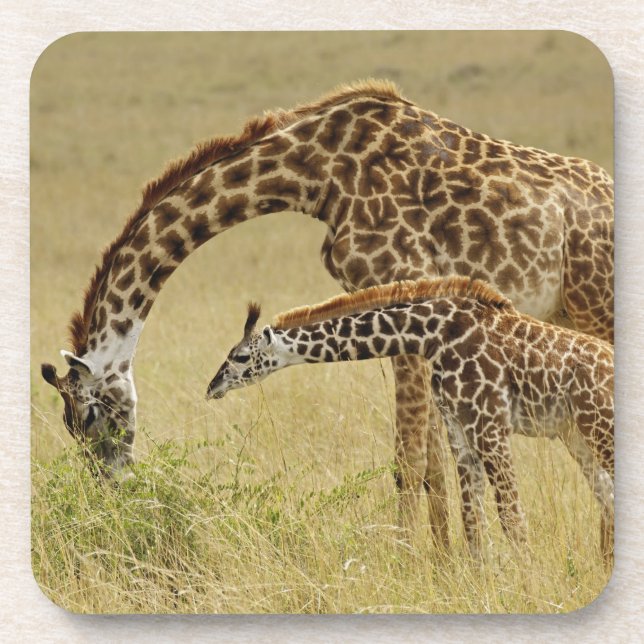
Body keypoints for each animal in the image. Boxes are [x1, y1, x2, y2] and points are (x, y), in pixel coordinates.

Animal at [206, 277, 615, 565]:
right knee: (607, 496)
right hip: (577, 436)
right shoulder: (459, 429)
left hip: (600, 428)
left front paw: (525, 588)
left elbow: (511, 517)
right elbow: (472, 521)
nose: (212, 387)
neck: (433, 335)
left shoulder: (489, 423)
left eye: (240, 356)